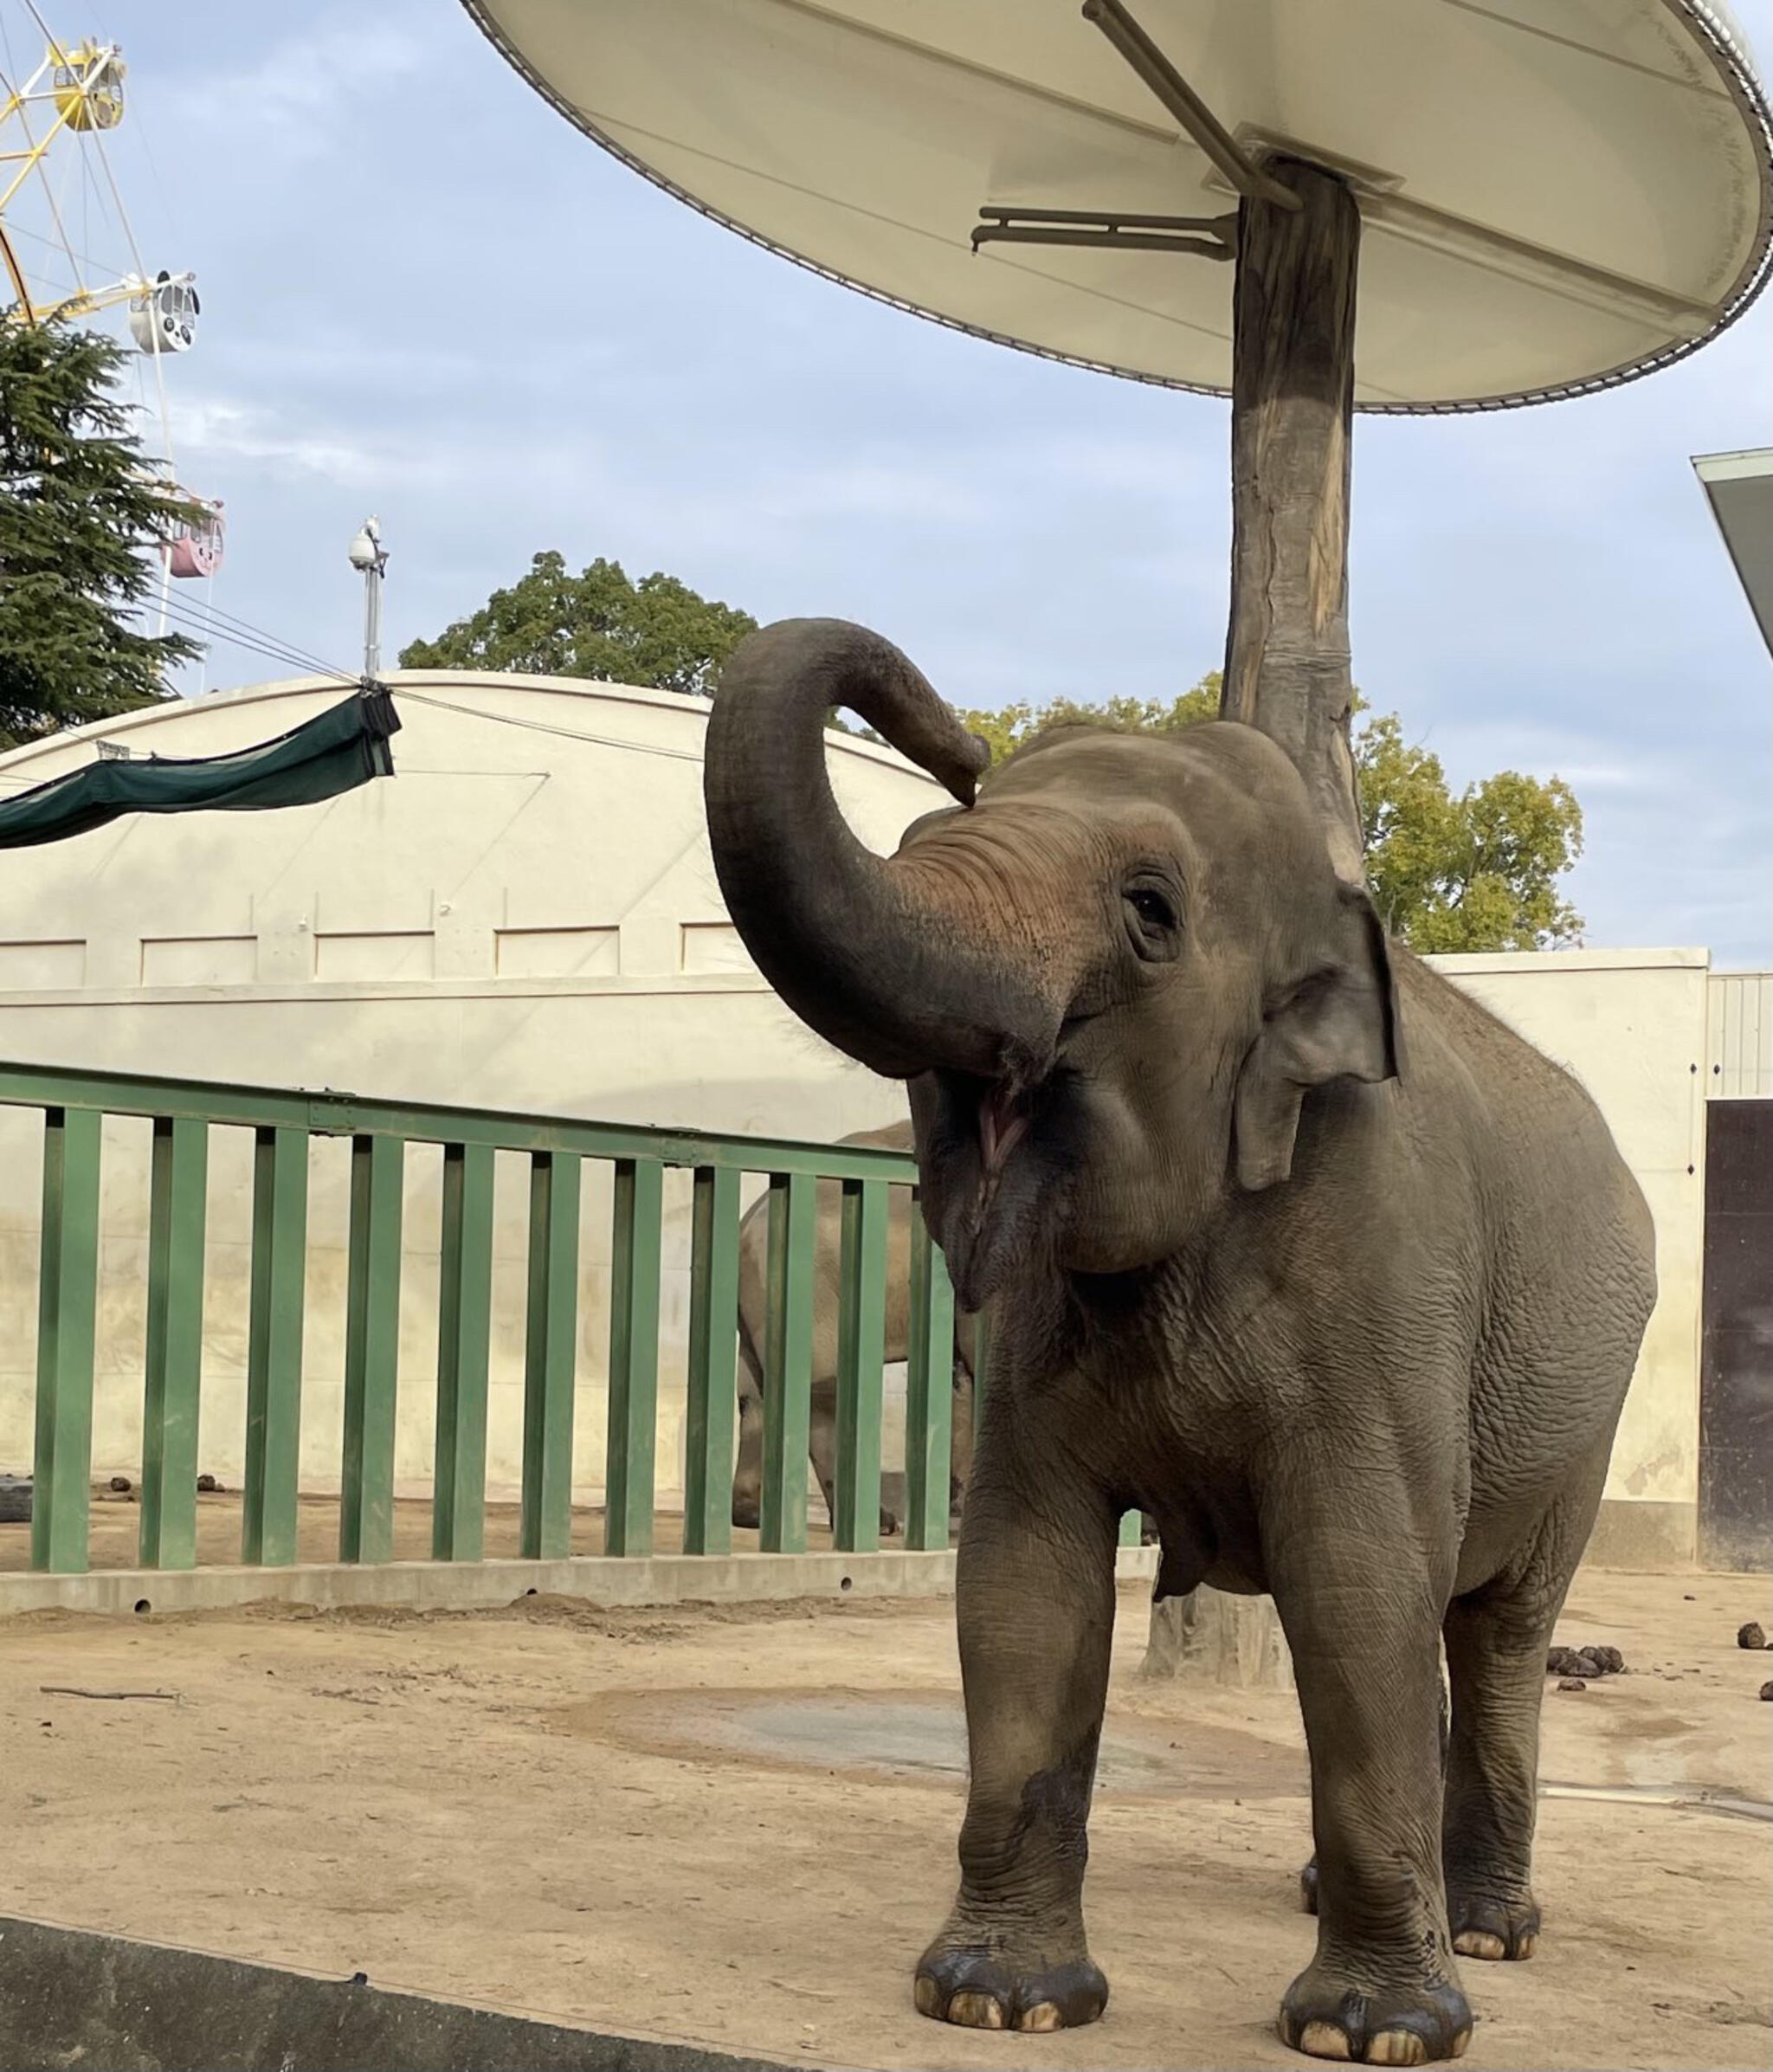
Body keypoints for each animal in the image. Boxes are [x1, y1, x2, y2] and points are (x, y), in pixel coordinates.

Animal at [732, 1119, 982, 1541]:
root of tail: (749, 1218)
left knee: (754, 1394)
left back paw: (751, 1514)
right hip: (811, 1284)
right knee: (819, 1389)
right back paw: (877, 1523)